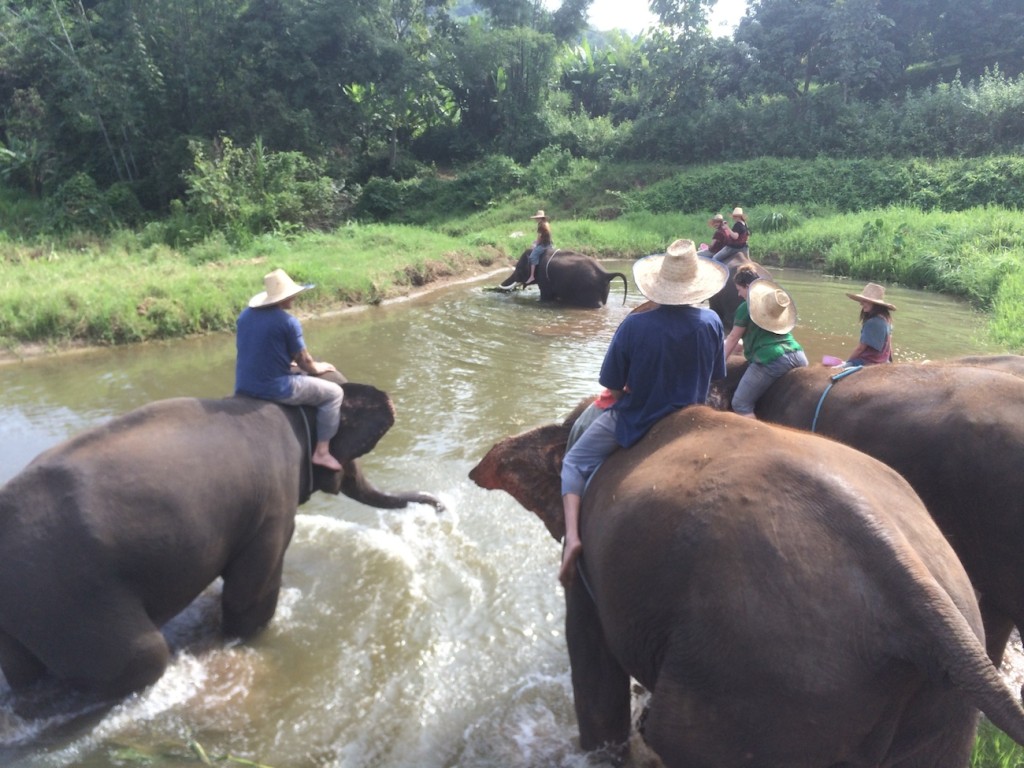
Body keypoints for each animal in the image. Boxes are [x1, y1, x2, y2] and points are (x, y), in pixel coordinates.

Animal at [0, 372, 440, 704]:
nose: (440, 507)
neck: (289, 406)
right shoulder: (272, 506)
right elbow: (252, 591)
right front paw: (247, 637)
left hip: (29, 612)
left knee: (25, 673)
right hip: (70, 598)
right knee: (144, 659)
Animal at [473, 405, 1024, 765]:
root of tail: (918, 597)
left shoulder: (586, 550)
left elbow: (593, 664)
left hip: (763, 682)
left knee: (681, 738)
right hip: (938, 702)